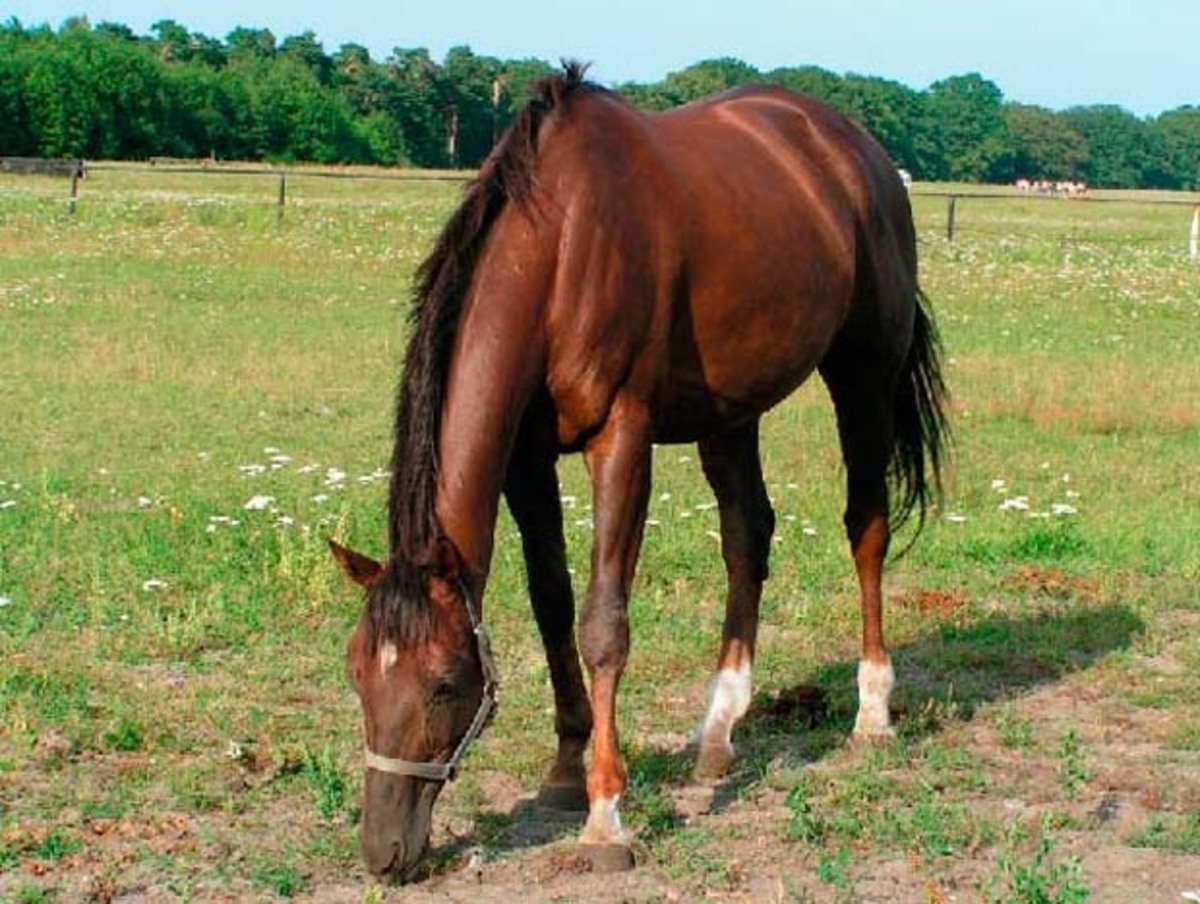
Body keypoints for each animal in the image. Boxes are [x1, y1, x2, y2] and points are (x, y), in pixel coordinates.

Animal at [328, 63, 945, 883]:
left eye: (443, 684)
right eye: (356, 672)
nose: (385, 851)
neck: (562, 247)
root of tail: (858, 151)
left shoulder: (622, 438)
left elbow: (603, 624)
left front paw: (604, 817)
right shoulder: (526, 457)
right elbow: (551, 602)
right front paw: (563, 771)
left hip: (863, 377)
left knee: (865, 528)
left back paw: (871, 713)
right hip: (732, 411)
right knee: (747, 538)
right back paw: (718, 733)